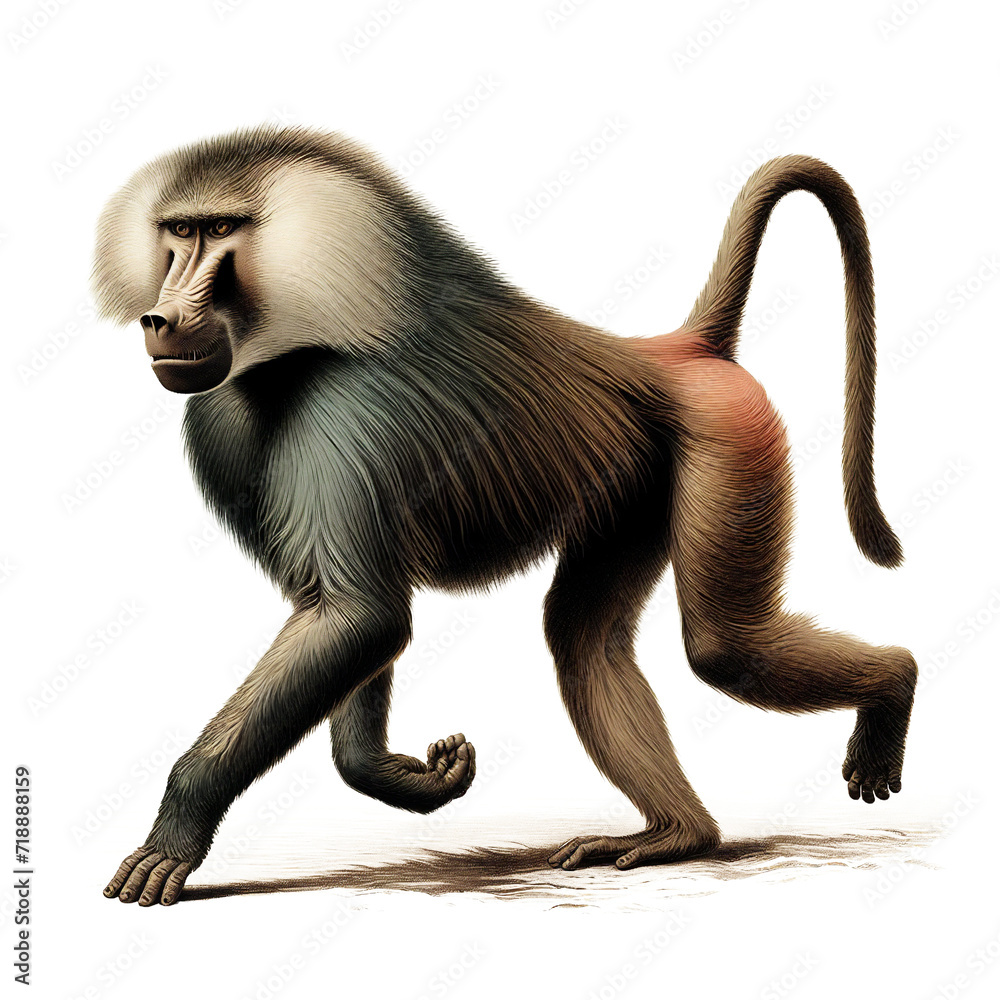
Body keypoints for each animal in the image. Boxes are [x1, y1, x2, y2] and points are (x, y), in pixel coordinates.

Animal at [92, 126, 916, 906]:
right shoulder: (224, 424)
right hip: (635, 486)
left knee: (723, 646)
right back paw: (678, 835)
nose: (160, 318)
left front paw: (176, 832)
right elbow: (338, 612)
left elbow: (359, 616)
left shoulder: (344, 415)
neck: (292, 348)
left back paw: (895, 687)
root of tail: (676, 353)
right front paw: (407, 776)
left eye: (219, 230)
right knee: (585, 642)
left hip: (728, 438)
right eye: (177, 232)